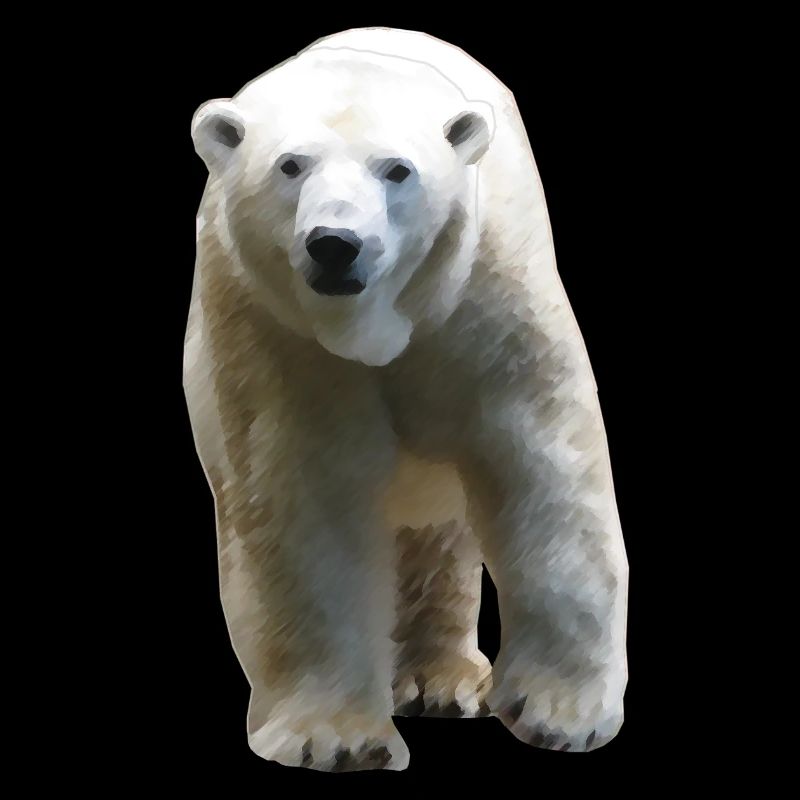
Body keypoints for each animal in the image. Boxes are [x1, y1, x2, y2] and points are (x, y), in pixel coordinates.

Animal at [184, 27, 629, 772]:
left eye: (396, 170)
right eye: (290, 165)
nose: (335, 245)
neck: (375, 326)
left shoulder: (486, 300)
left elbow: (542, 467)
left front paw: (561, 713)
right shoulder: (271, 330)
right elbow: (300, 498)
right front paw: (335, 736)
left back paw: (441, 682)